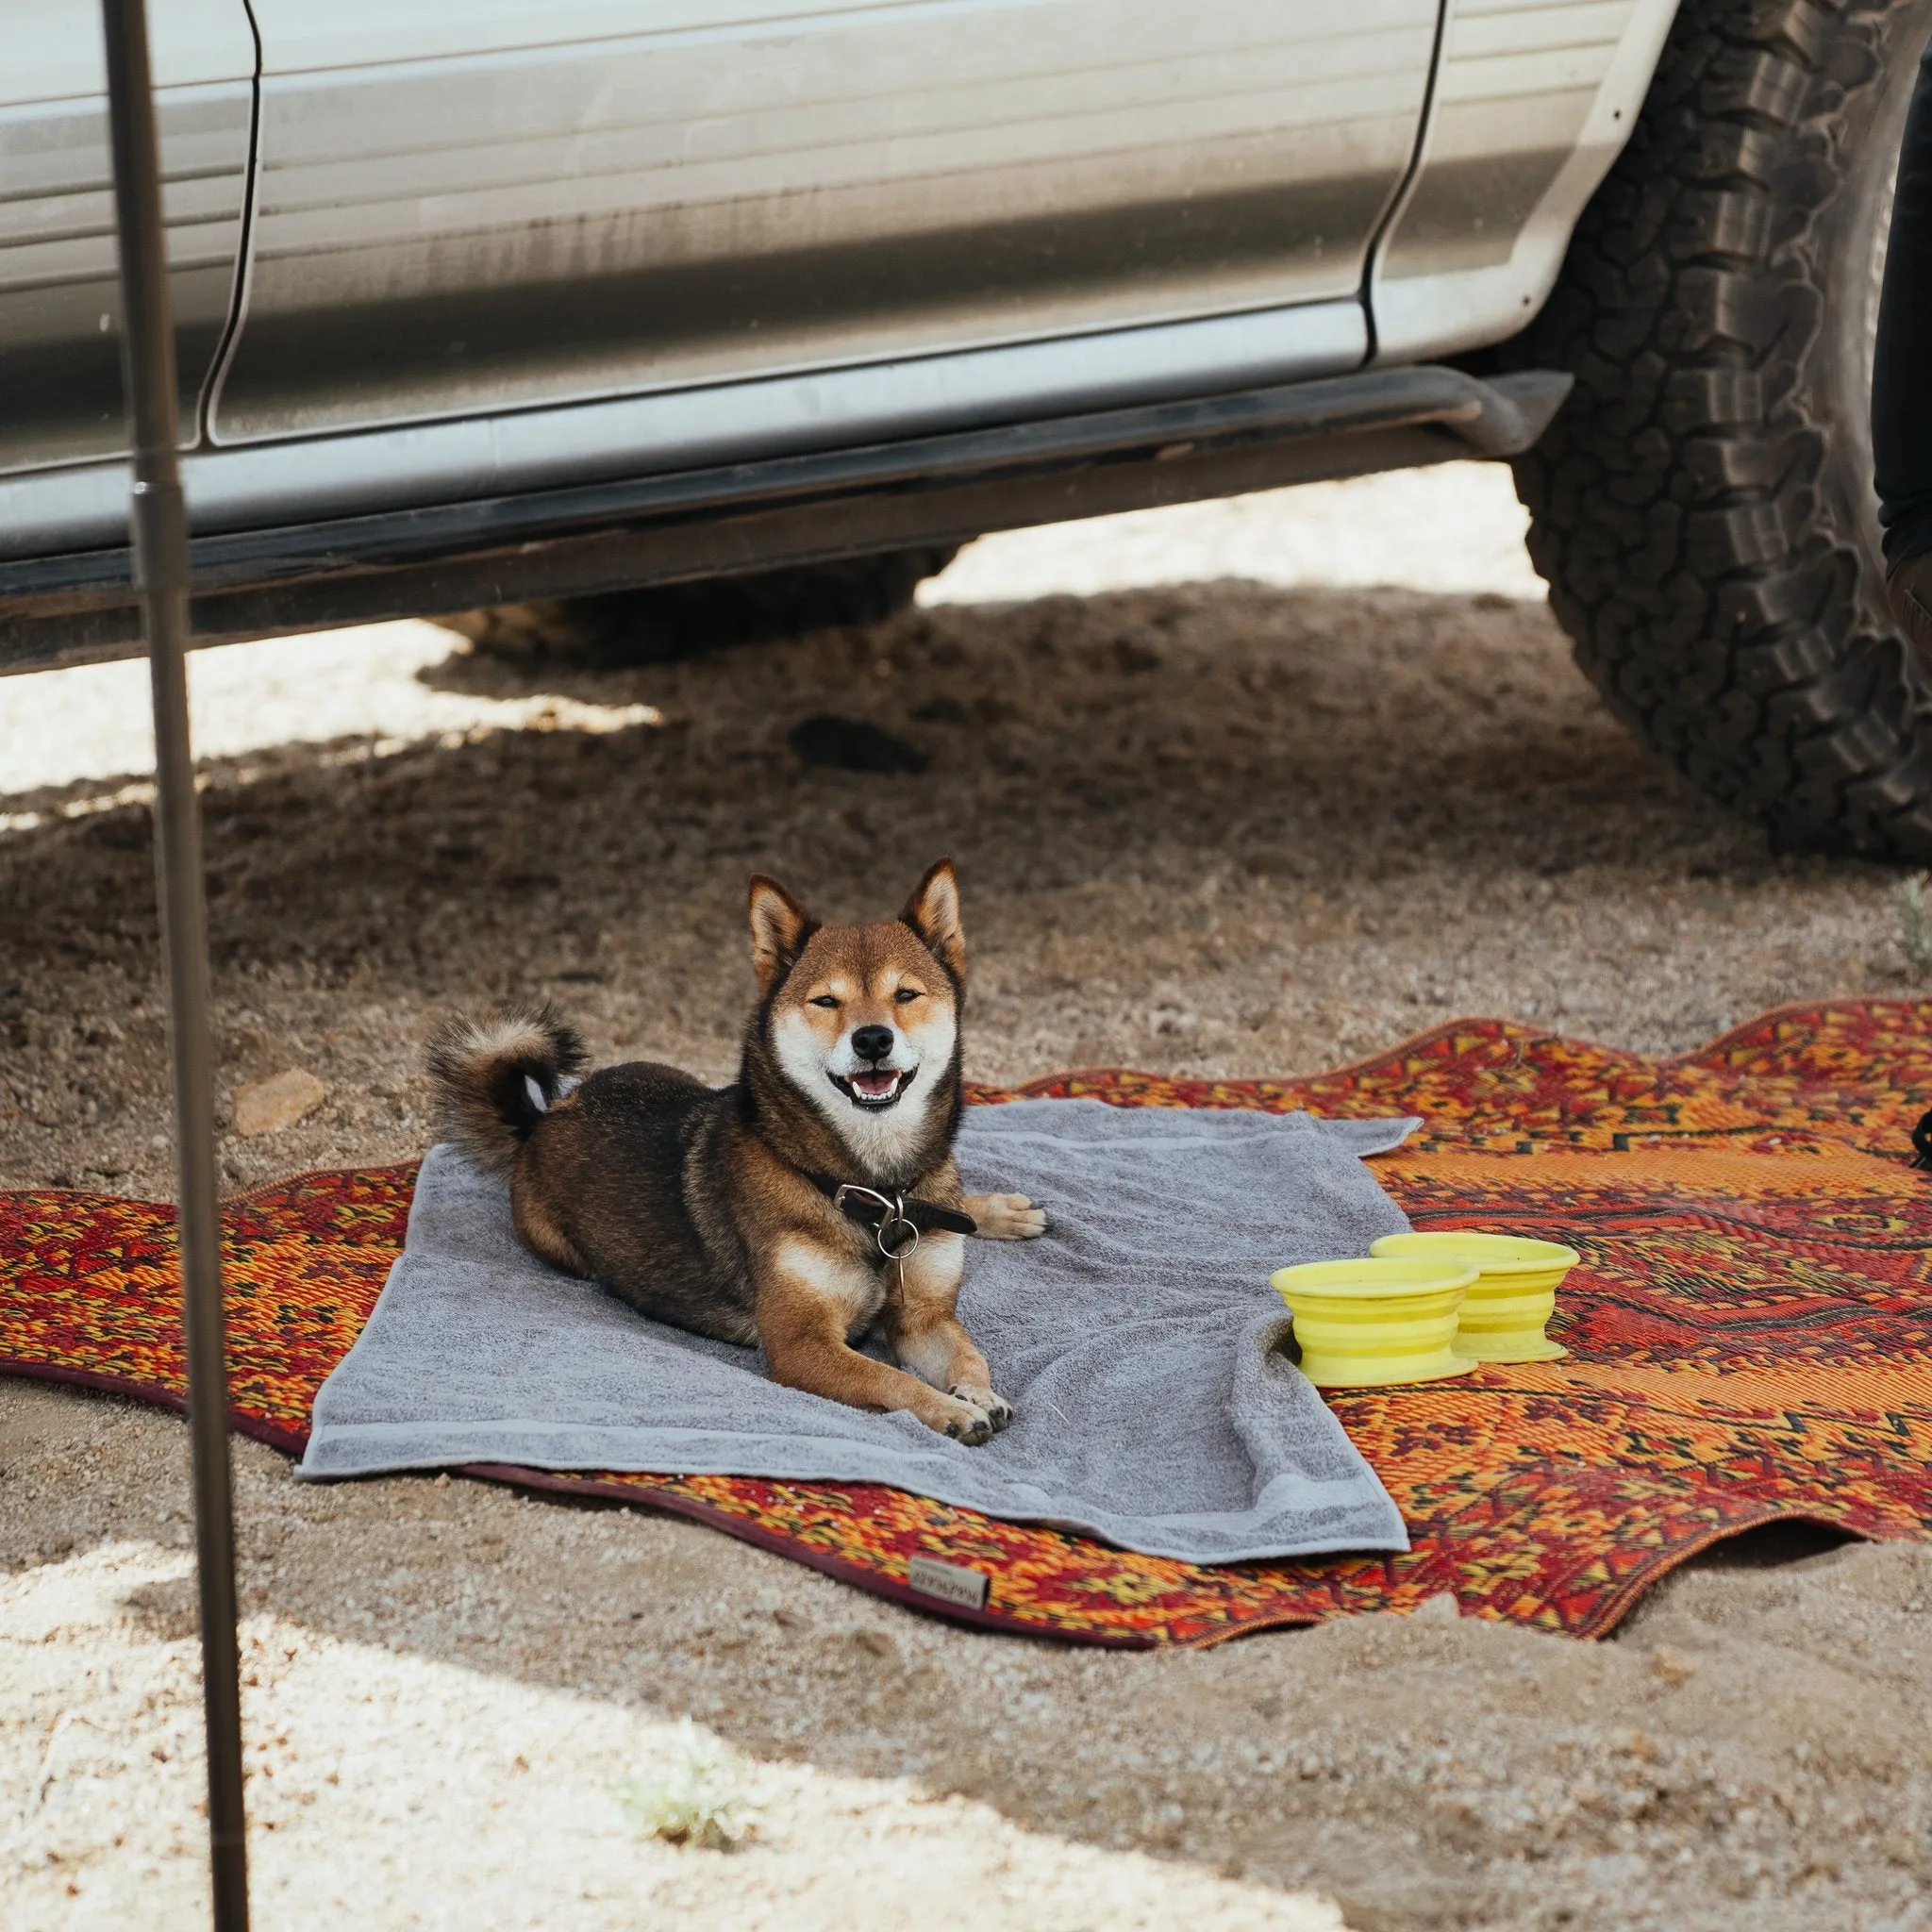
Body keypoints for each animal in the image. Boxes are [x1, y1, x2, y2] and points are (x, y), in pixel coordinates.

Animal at [430, 858, 1051, 1437]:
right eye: (826, 1002)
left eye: (906, 994)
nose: (872, 1039)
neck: (876, 1192)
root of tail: (546, 1117)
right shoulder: (803, 1345)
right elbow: (892, 1381)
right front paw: (952, 1410)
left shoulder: (924, 1316)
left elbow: (970, 1358)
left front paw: (976, 1393)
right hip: (559, 1246)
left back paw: (997, 1211)